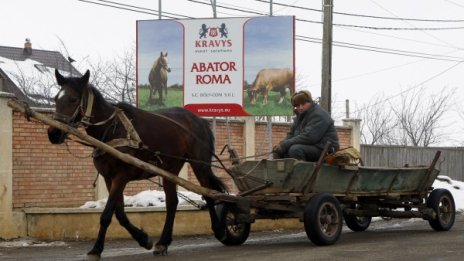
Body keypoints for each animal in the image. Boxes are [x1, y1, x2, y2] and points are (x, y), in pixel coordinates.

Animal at [48, 68, 227, 258]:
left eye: (73, 99)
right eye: (56, 98)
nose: (53, 133)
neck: (112, 129)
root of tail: (199, 120)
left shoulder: (121, 176)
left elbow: (106, 215)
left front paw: (96, 249)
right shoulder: (109, 178)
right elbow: (119, 213)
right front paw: (143, 239)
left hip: (200, 164)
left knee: (208, 194)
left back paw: (219, 229)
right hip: (170, 169)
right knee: (172, 202)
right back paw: (163, 242)